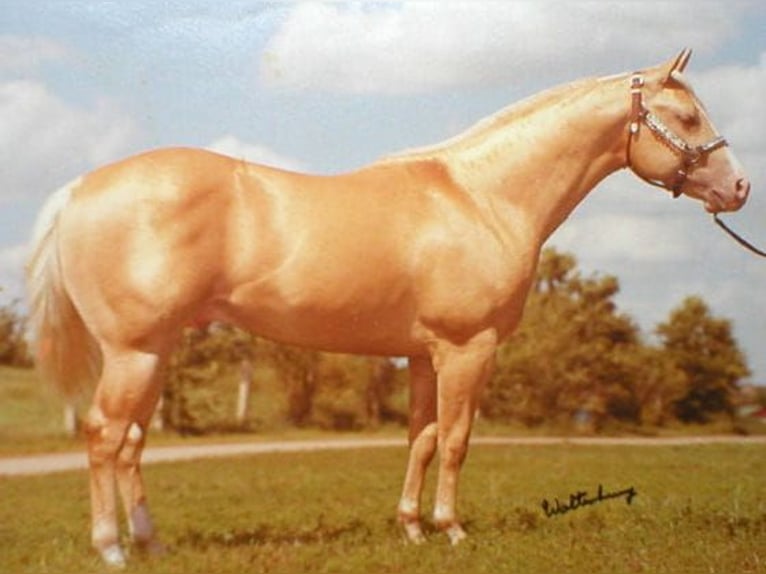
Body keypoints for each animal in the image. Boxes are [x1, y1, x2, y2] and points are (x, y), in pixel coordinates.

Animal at [26, 49, 749, 566]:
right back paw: (111, 548)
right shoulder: (468, 349)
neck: (482, 197)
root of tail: (81, 188)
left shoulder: (424, 357)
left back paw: (151, 543)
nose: (739, 187)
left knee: (130, 445)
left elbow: (421, 440)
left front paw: (411, 529)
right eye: (689, 119)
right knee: (105, 437)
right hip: (135, 352)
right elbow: (456, 441)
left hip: (155, 353)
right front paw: (452, 530)